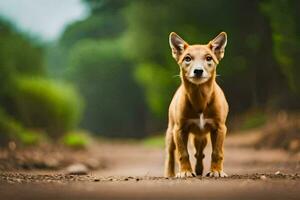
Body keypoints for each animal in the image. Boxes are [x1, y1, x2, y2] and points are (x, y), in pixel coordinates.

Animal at [164, 31, 227, 178]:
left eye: (209, 58)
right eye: (187, 58)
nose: (198, 71)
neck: (200, 99)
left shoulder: (220, 128)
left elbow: (217, 152)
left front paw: (216, 171)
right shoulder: (179, 129)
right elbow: (183, 153)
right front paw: (185, 171)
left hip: (202, 137)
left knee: (199, 153)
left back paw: (199, 169)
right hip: (170, 132)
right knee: (170, 154)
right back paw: (170, 173)